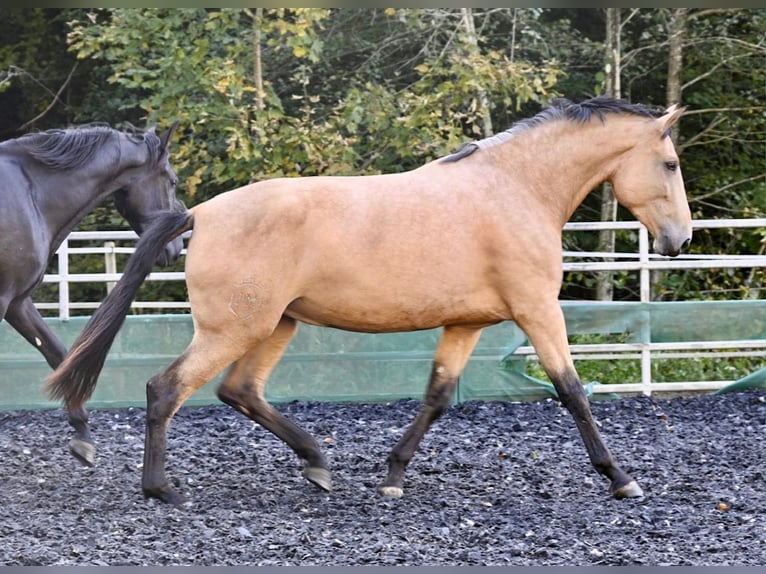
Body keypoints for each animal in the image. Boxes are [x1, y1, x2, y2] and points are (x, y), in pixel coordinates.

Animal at [0, 122, 186, 466]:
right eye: (173, 181)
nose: (177, 248)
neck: (29, 192)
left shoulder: (17, 302)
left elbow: (57, 352)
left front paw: (82, 435)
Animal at [47, 97, 692, 506]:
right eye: (669, 163)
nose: (680, 240)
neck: (514, 189)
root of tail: (199, 214)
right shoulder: (538, 312)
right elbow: (573, 392)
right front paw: (620, 479)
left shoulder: (467, 324)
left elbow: (436, 398)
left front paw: (392, 476)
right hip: (234, 330)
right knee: (166, 390)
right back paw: (163, 490)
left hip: (275, 326)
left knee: (240, 391)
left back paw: (317, 464)